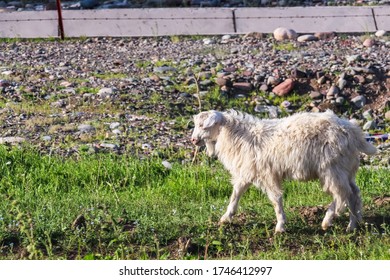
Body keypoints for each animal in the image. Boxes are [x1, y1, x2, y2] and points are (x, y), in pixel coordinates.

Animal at [190, 109, 376, 232]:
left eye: (203, 125)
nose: (193, 140)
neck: (238, 137)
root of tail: (353, 132)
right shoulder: (247, 172)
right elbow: (236, 194)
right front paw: (226, 218)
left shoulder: (267, 174)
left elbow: (275, 199)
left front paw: (280, 226)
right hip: (346, 169)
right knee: (353, 193)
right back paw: (352, 225)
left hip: (332, 169)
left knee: (342, 195)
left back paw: (328, 220)